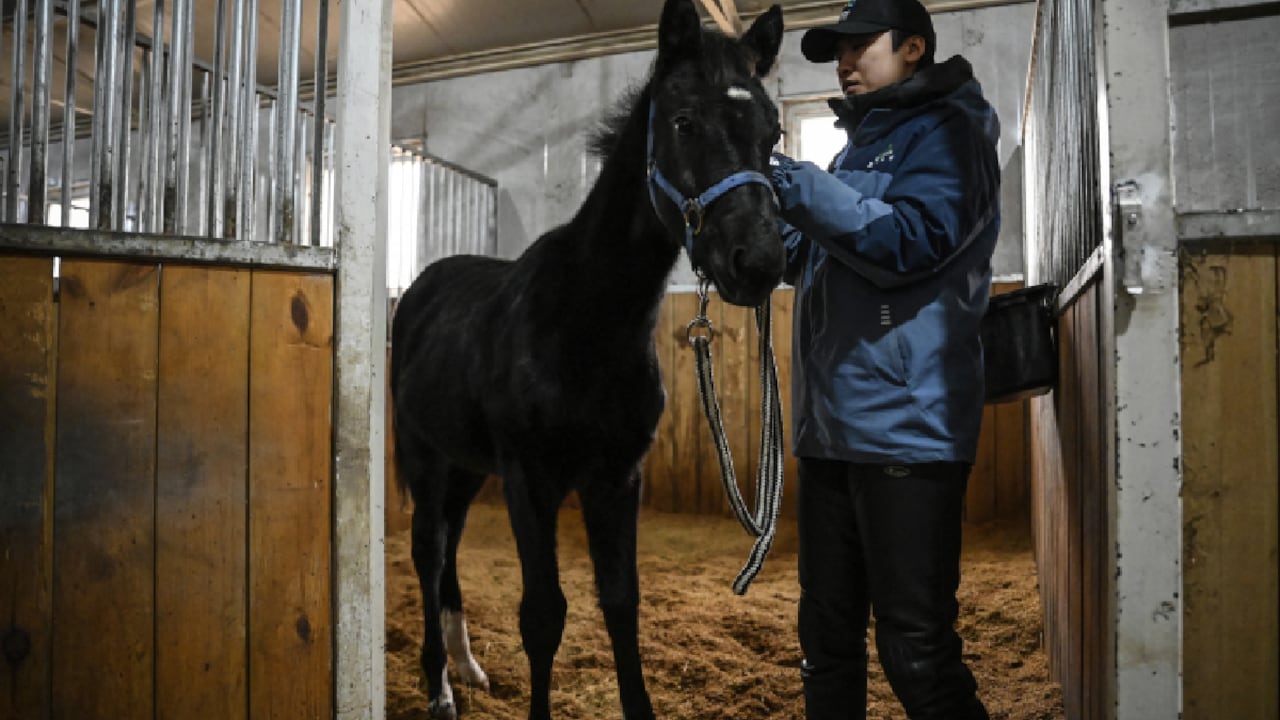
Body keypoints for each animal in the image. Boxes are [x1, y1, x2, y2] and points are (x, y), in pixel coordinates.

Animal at [389, 1, 785, 718]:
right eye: (684, 121)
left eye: (771, 133)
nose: (760, 262)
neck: (583, 320)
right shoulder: (530, 481)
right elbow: (543, 615)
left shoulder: (617, 479)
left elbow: (622, 603)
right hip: (427, 457)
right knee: (428, 550)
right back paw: (438, 686)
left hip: (467, 465)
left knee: (451, 545)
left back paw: (467, 665)